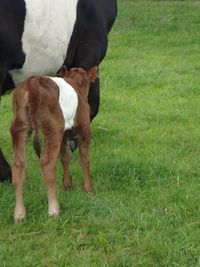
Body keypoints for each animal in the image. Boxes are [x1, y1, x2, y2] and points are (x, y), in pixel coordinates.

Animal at [10, 66, 97, 223]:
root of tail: (33, 83)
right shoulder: (84, 128)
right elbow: (84, 159)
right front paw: (88, 189)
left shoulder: (64, 134)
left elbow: (66, 157)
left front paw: (67, 184)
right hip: (53, 129)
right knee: (47, 164)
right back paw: (54, 210)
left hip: (20, 125)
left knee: (19, 165)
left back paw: (19, 214)